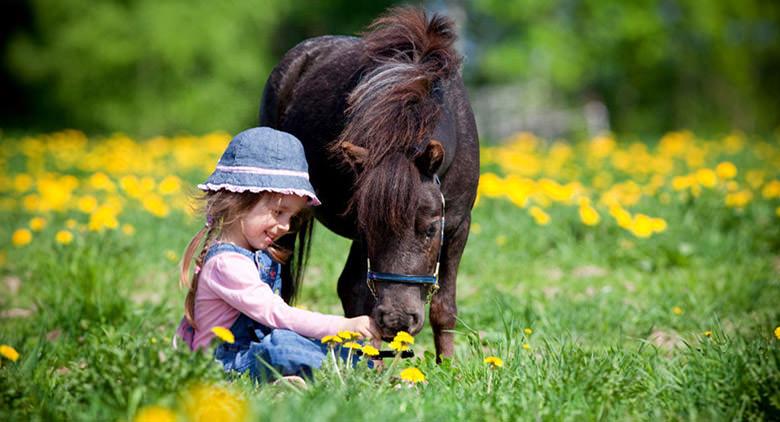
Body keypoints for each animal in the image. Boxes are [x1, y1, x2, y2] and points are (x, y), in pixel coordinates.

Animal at [258, 6, 478, 360]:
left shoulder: (458, 225)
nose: (398, 319)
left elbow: (444, 308)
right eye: (370, 225)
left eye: (431, 229)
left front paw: (448, 367)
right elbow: (360, 295)